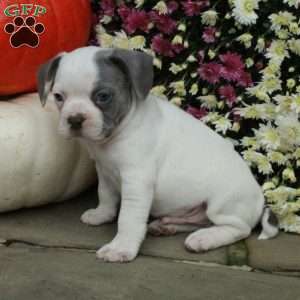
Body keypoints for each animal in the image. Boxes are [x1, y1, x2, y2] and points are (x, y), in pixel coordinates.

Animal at [37, 45, 278, 262]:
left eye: (103, 96)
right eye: (58, 96)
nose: (75, 119)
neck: (116, 134)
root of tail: (259, 198)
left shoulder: (136, 182)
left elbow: (128, 218)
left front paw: (121, 248)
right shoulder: (104, 171)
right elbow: (105, 195)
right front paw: (101, 214)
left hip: (222, 204)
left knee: (238, 228)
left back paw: (204, 238)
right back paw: (167, 226)